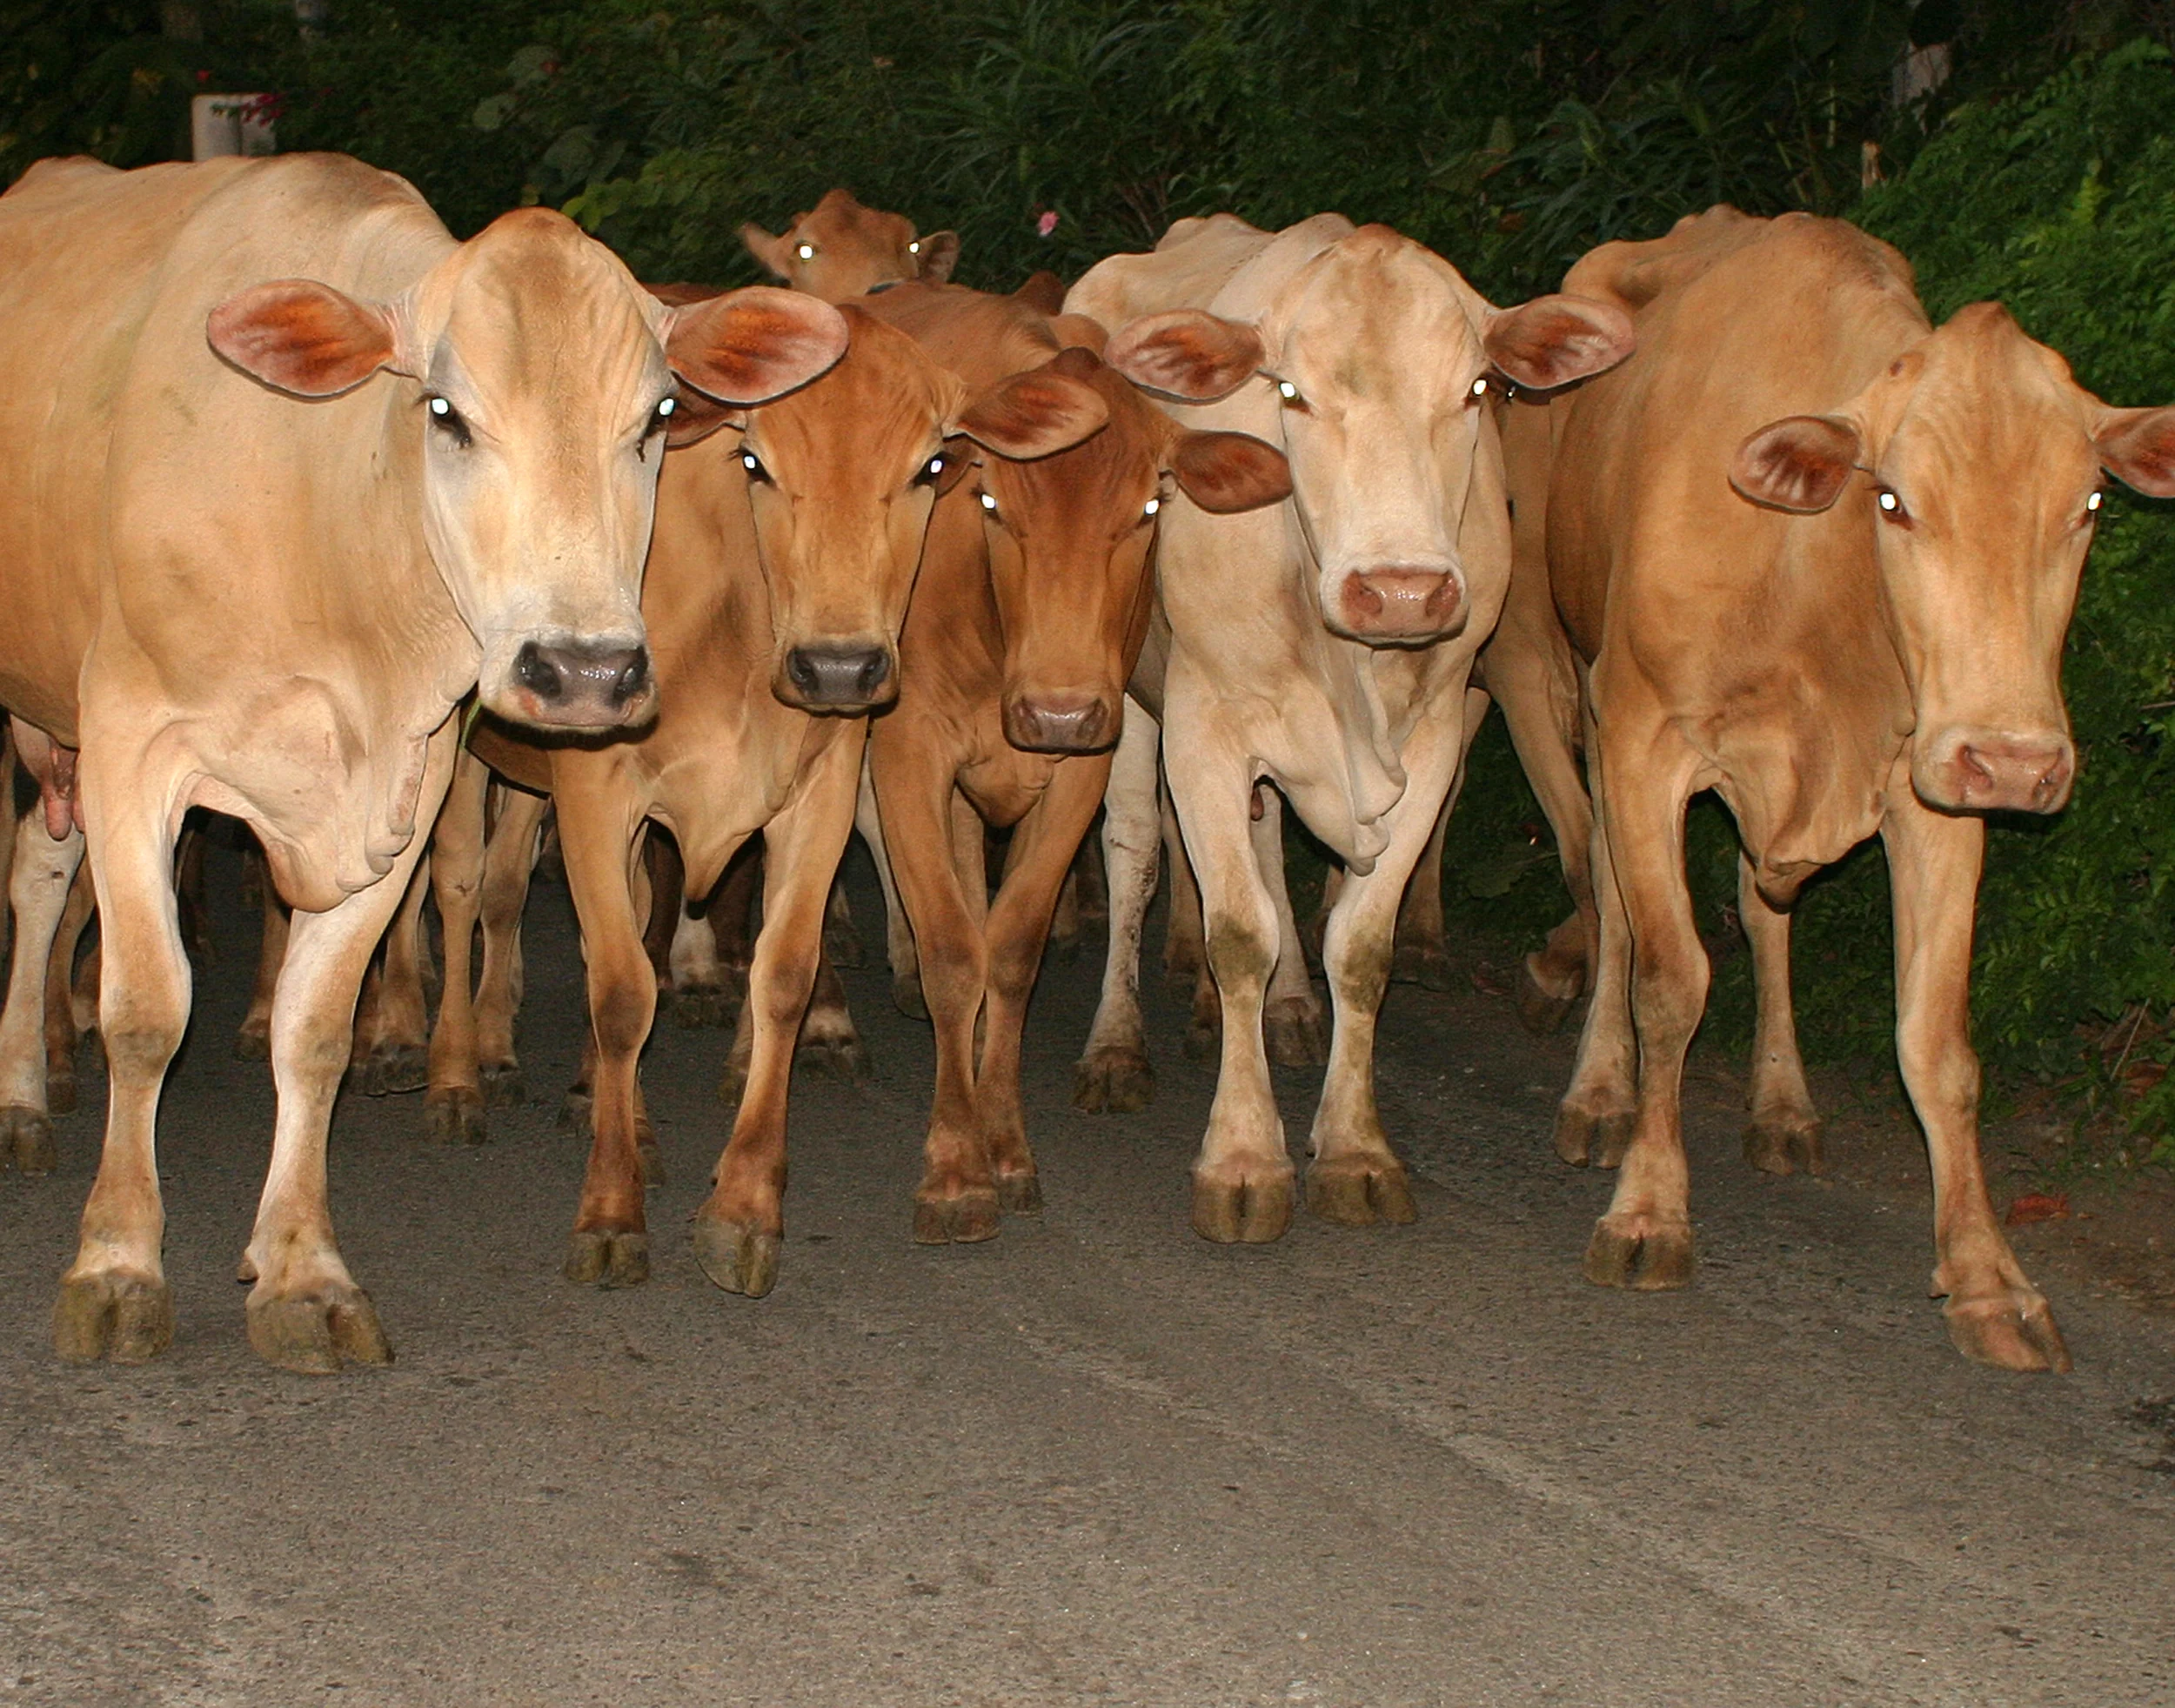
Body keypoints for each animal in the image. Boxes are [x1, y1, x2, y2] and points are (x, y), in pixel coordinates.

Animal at [0, 152, 846, 1370]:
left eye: (657, 416)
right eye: (444, 411)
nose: (583, 670)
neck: (326, 522)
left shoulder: (404, 782)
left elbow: (315, 1032)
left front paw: (300, 1268)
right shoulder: (132, 742)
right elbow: (146, 1011)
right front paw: (117, 1262)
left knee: (38, 859)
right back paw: (25, 1097)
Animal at [420, 304, 1109, 1293]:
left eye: (932, 466)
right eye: (756, 462)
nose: (838, 665)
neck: (738, 629)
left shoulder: (819, 790)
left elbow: (779, 974)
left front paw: (743, 1207)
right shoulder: (598, 792)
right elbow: (621, 990)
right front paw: (610, 1210)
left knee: (518, 892)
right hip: (462, 757)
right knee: (462, 890)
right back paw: (457, 1076)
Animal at [854, 279, 1289, 1242]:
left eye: (1149, 509)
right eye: (991, 507)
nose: (1054, 708)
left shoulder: (1085, 760)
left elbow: (1010, 948)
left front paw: (1004, 1144)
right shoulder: (909, 754)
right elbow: (951, 952)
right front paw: (955, 1169)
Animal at [1064, 212, 1634, 1241]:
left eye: (1477, 388)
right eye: (1290, 390)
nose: (1402, 589)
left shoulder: (1435, 739)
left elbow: (1359, 947)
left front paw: (1355, 1148)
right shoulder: (1206, 725)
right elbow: (1235, 930)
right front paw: (1243, 1157)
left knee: (1263, 845)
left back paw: (1281, 1010)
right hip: (1125, 690)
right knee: (1134, 855)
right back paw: (1118, 1046)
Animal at [1508, 205, 2175, 1371]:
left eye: (2088, 502)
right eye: (1895, 499)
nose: (2020, 760)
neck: (1815, 583)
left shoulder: (1934, 782)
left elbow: (1935, 1041)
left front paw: (1988, 1279)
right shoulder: (1644, 737)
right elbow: (1670, 978)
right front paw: (1647, 1206)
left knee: (1761, 909)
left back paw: (1781, 1103)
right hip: (1569, 675)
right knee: (1610, 894)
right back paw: (1598, 1090)